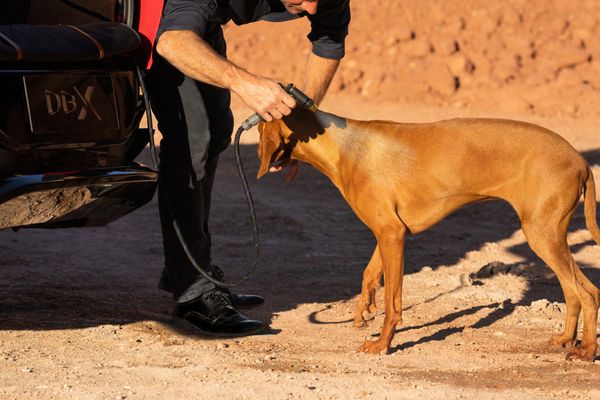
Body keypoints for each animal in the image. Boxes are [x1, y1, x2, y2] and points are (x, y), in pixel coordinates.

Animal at [255, 108, 596, 360]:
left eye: (258, 131)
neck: (343, 147)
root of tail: (581, 160)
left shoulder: (391, 234)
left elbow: (393, 303)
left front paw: (382, 344)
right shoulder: (390, 232)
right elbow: (369, 273)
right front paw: (364, 310)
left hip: (541, 235)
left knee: (587, 295)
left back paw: (586, 351)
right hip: (551, 236)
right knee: (580, 291)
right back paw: (567, 339)